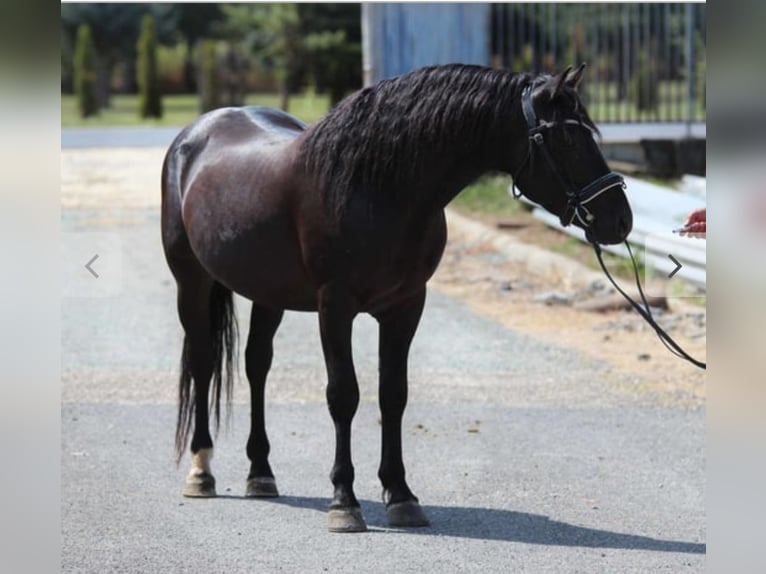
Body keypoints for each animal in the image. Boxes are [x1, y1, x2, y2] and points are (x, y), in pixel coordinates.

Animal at [161, 63, 633, 533]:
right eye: (566, 138)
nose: (621, 220)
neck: (376, 187)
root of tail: (199, 130)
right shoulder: (335, 307)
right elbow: (344, 395)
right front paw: (344, 502)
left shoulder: (405, 307)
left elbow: (393, 395)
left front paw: (401, 495)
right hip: (192, 282)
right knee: (202, 364)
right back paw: (201, 471)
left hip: (268, 293)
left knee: (257, 365)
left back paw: (260, 473)